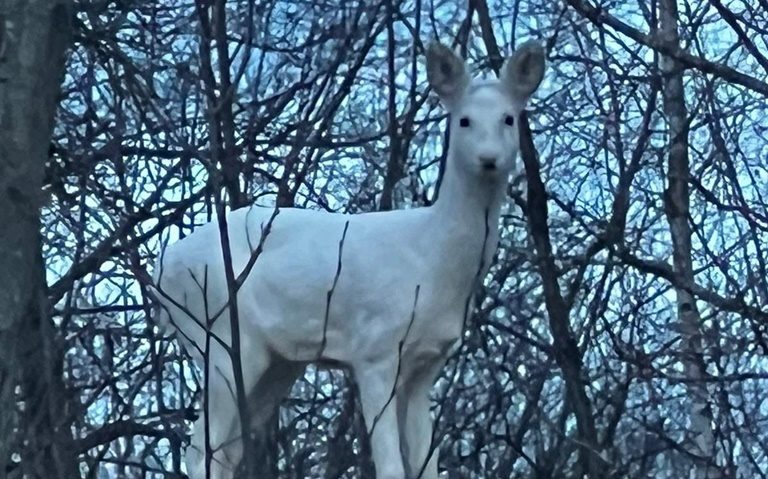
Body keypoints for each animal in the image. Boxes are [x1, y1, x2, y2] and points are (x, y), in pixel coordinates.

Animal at [152, 40, 544, 479]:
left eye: (509, 118)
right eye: (463, 120)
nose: (489, 158)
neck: (432, 257)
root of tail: (163, 268)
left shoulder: (427, 365)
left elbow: (426, 465)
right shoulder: (375, 350)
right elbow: (390, 467)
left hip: (274, 361)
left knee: (227, 450)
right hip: (218, 335)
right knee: (201, 447)